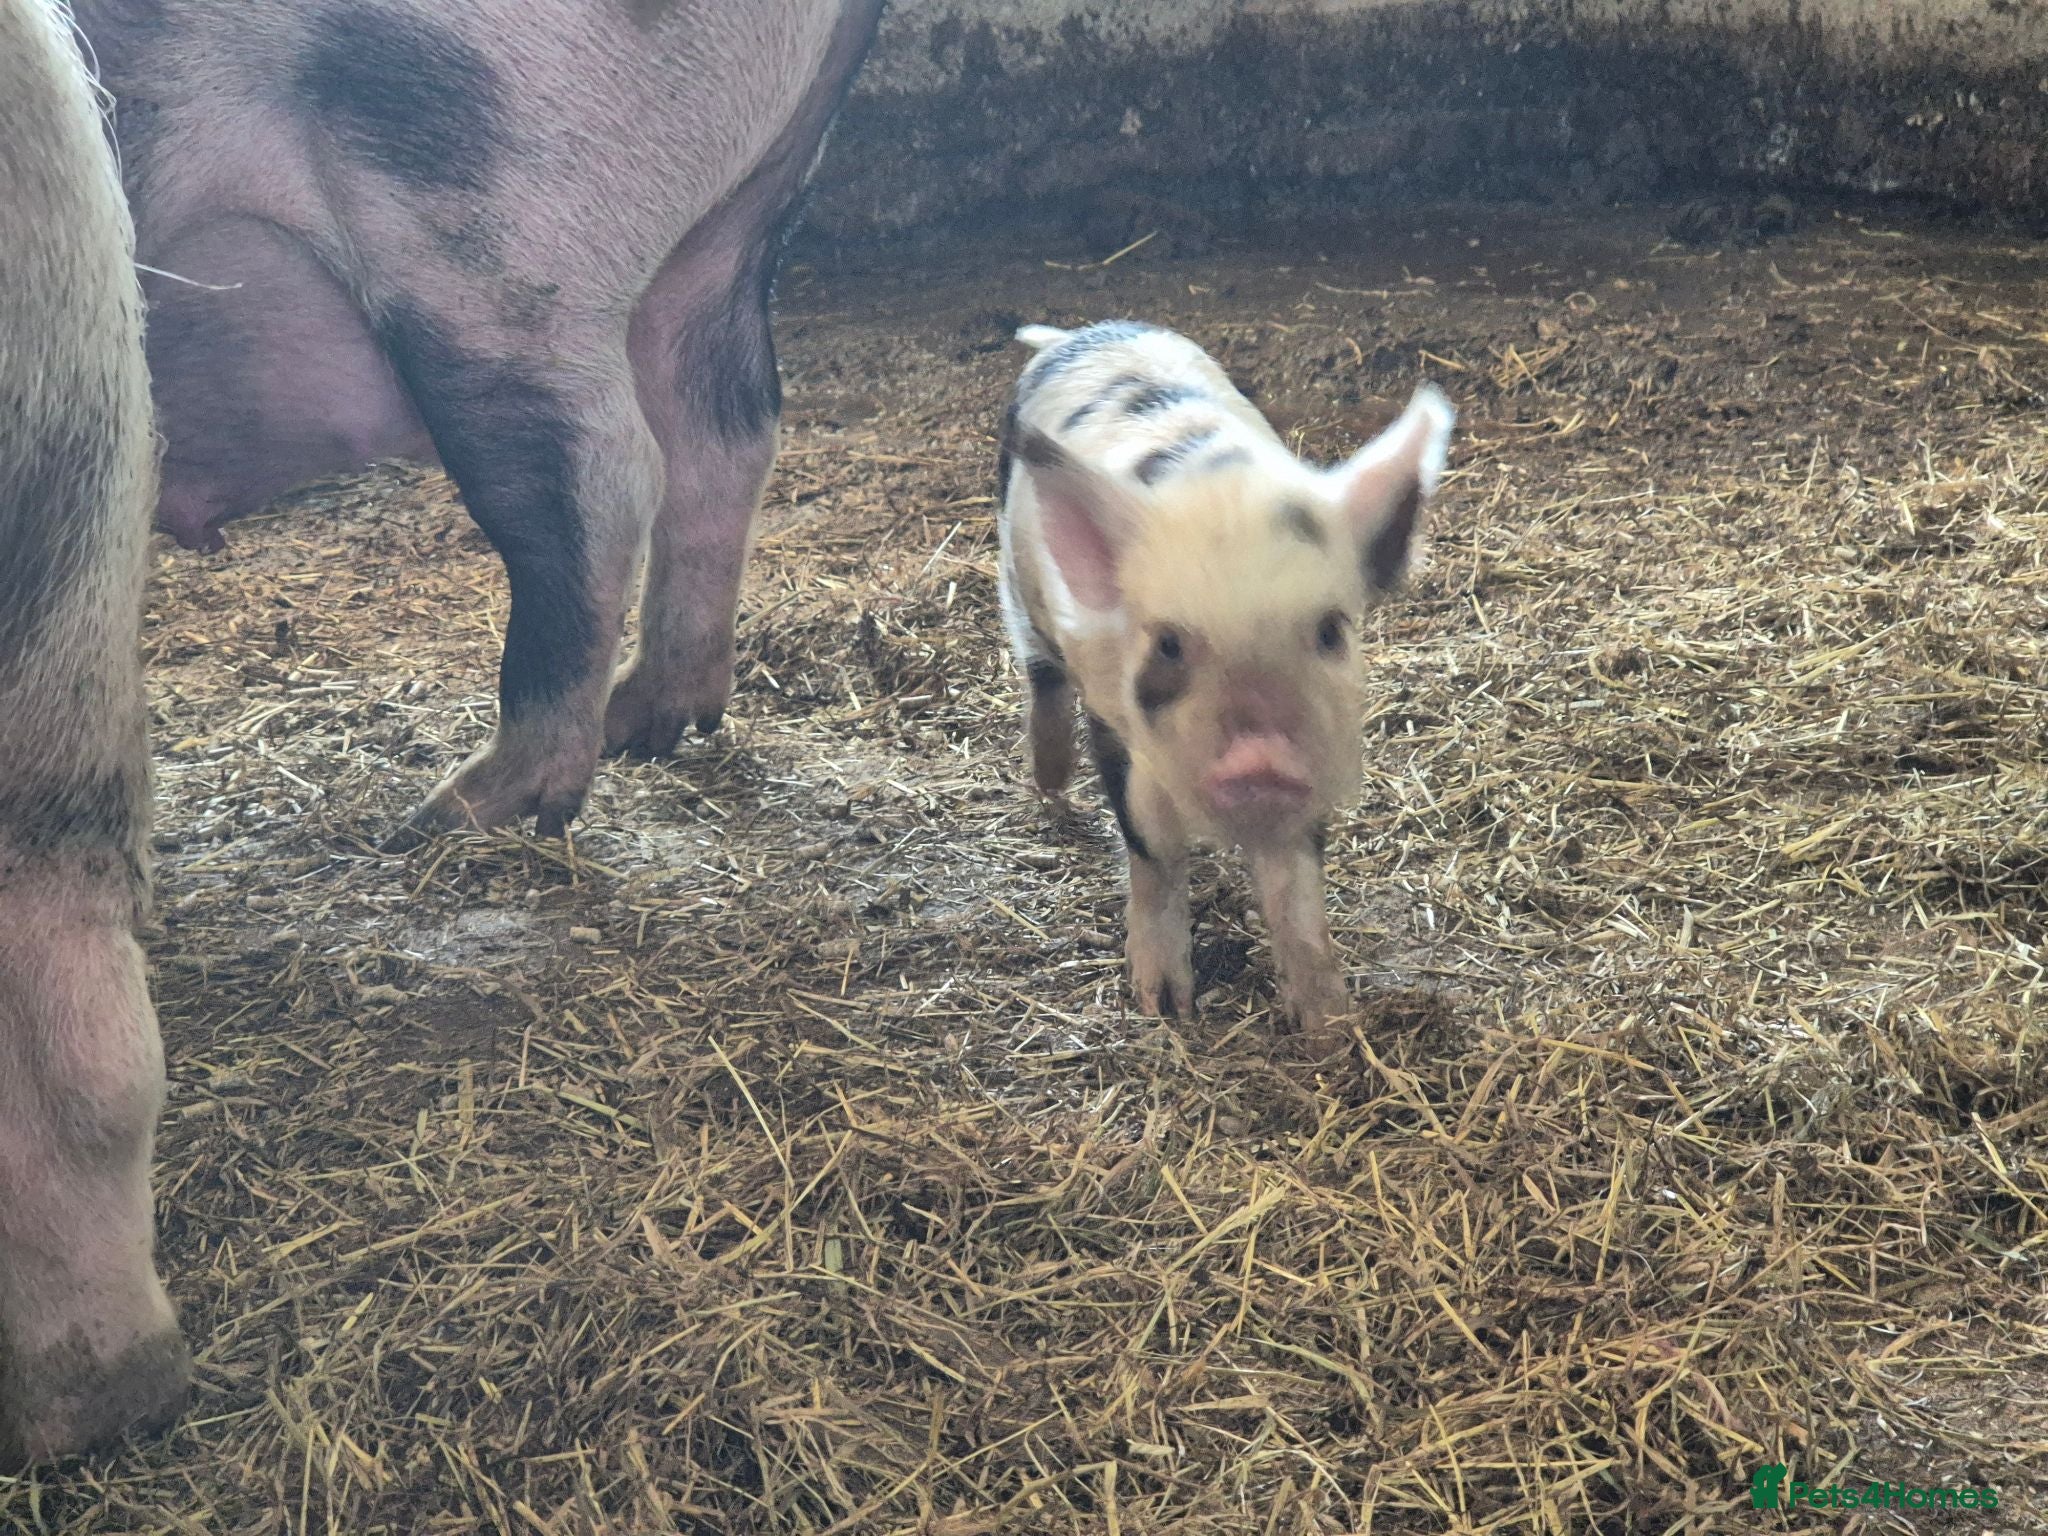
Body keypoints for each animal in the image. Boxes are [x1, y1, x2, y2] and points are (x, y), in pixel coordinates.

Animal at [79, 0, 885, 841]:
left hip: (483, 222)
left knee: (595, 482)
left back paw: (455, 812)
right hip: (733, 217)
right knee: (722, 431)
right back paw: (644, 729)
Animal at [997, 321, 1453, 1047]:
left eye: (1331, 631)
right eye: (1168, 643)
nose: (1260, 757)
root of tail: (1080, 332)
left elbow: (1296, 888)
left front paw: (1331, 1027)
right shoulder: (1114, 722)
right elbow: (1152, 849)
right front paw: (1162, 1007)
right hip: (1017, 589)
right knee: (1039, 672)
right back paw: (1051, 789)